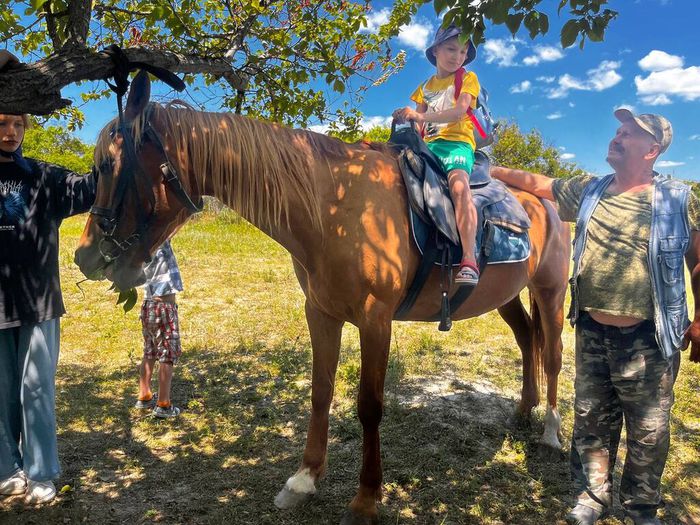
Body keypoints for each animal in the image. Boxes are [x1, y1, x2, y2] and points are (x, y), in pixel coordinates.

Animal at [75, 71, 568, 520]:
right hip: (508, 295)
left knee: (553, 355)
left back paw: (550, 432)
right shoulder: (321, 313)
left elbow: (370, 407)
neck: (335, 206)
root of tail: (546, 199)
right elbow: (320, 392)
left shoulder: (375, 320)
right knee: (527, 339)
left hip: (550, 291)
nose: (83, 256)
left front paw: (366, 499)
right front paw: (305, 479)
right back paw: (524, 411)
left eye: (107, 167)